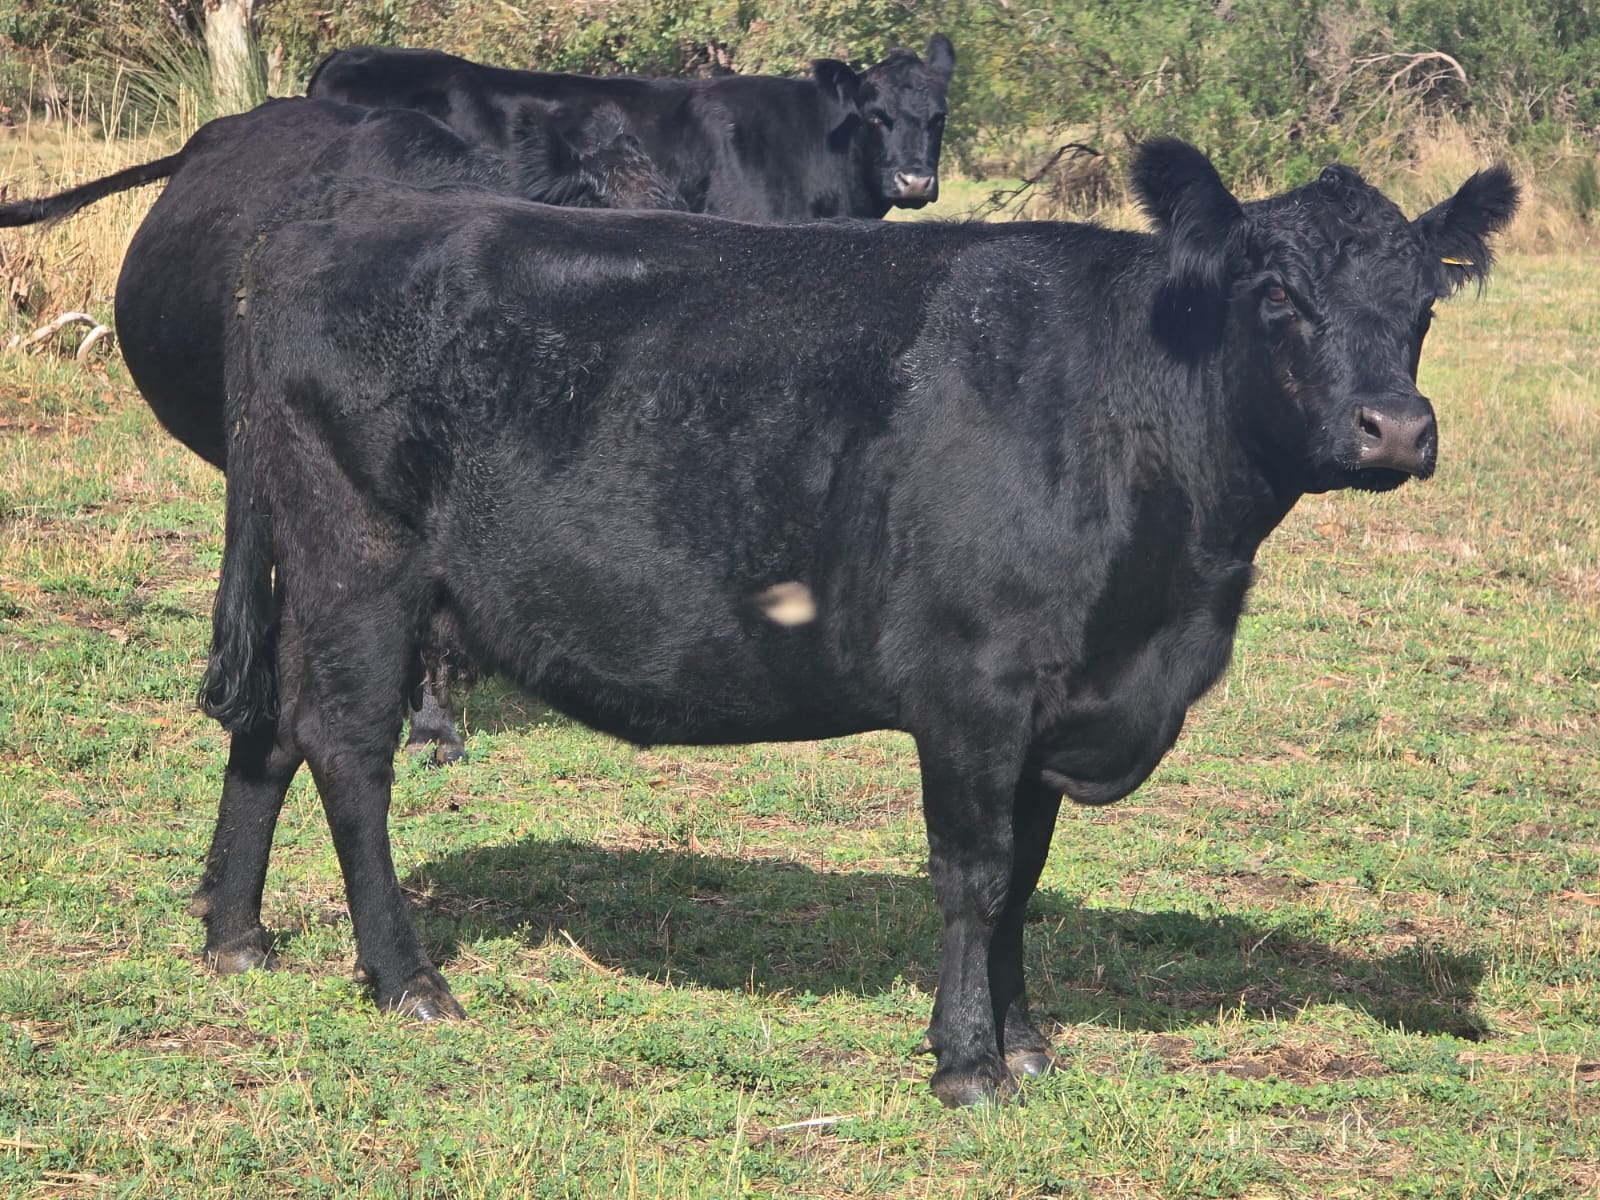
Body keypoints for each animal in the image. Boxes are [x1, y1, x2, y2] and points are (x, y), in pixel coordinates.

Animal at [193, 137, 1516, 1105]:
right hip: (363, 564)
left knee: (268, 732)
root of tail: (323, 227)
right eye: (1277, 293)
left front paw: (1026, 1041)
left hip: (313, 573)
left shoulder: (1054, 699)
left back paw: (237, 938)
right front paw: (969, 1066)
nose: (1394, 429)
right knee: (347, 752)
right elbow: (975, 876)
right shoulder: (974, 687)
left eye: (1422, 303)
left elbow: (1026, 877)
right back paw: (405, 978)